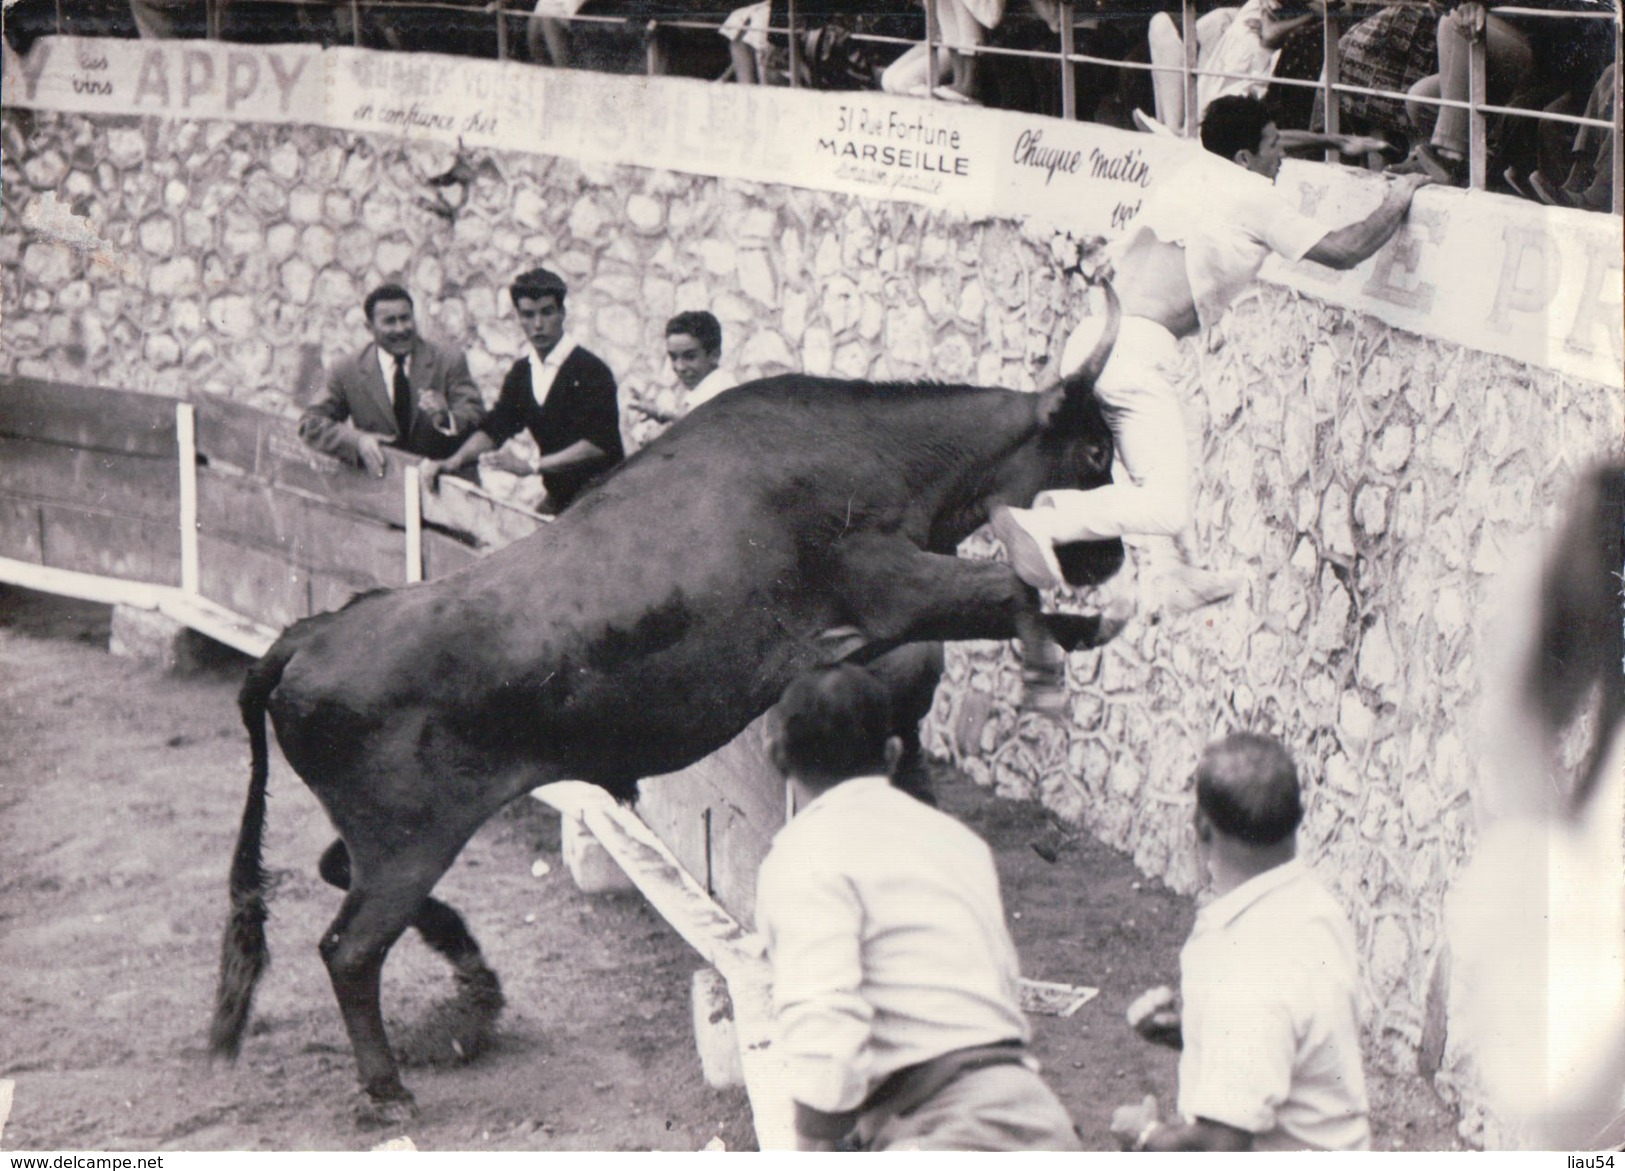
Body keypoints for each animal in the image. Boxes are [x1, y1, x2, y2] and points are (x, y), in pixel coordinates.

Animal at [209, 287, 1124, 1117]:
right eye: (1091, 455)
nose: (1109, 554)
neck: (879, 449)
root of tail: (310, 635)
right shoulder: (889, 584)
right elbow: (1003, 588)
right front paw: (1061, 649)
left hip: (395, 836)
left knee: (336, 877)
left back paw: (472, 987)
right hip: (408, 840)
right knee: (350, 947)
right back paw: (390, 1085)